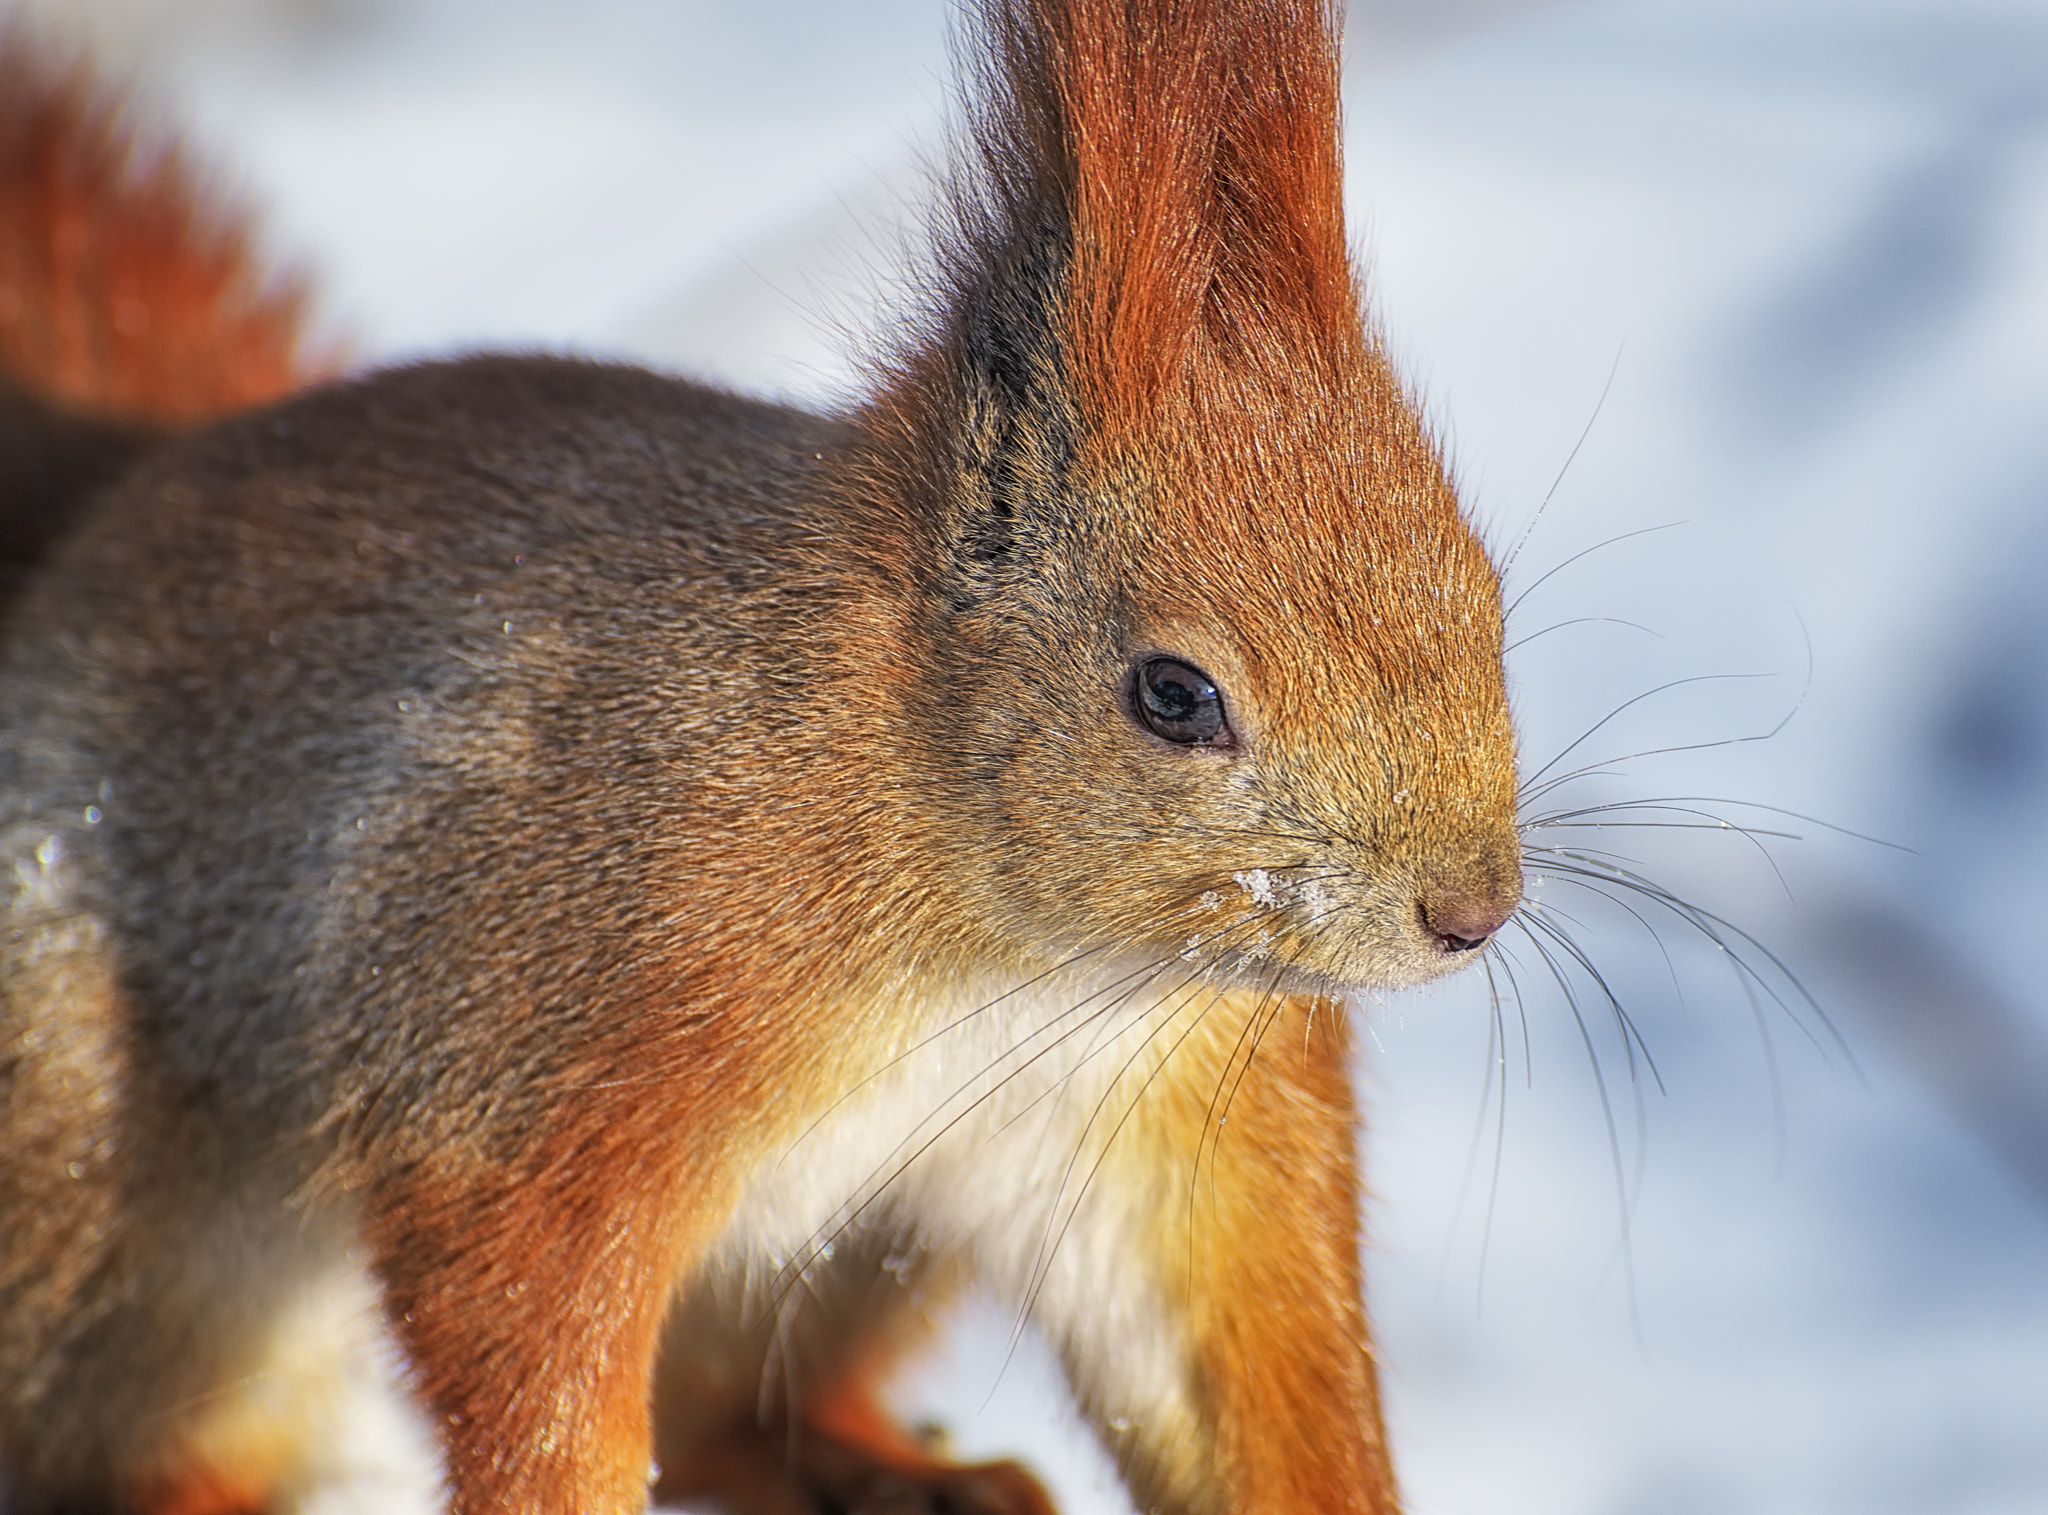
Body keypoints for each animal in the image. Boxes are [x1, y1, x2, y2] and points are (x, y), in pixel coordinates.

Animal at [0, 2, 1523, 1512]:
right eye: (1174, 694)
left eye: (1484, 590)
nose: (1470, 911)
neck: (1026, 958)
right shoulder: (543, 1024)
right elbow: (527, 1321)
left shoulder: (1189, 1127)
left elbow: (1242, 1366)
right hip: (120, 1215)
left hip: (859, 1261)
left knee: (730, 1410)